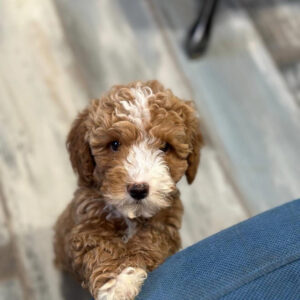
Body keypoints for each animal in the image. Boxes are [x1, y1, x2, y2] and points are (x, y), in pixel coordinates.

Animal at [54, 80, 203, 300]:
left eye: (165, 147)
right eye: (114, 144)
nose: (138, 189)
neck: (131, 215)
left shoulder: (166, 227)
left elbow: (151, 240)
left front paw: (124, 277)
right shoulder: (85, 222)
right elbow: (98, 244)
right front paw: (117, 282)